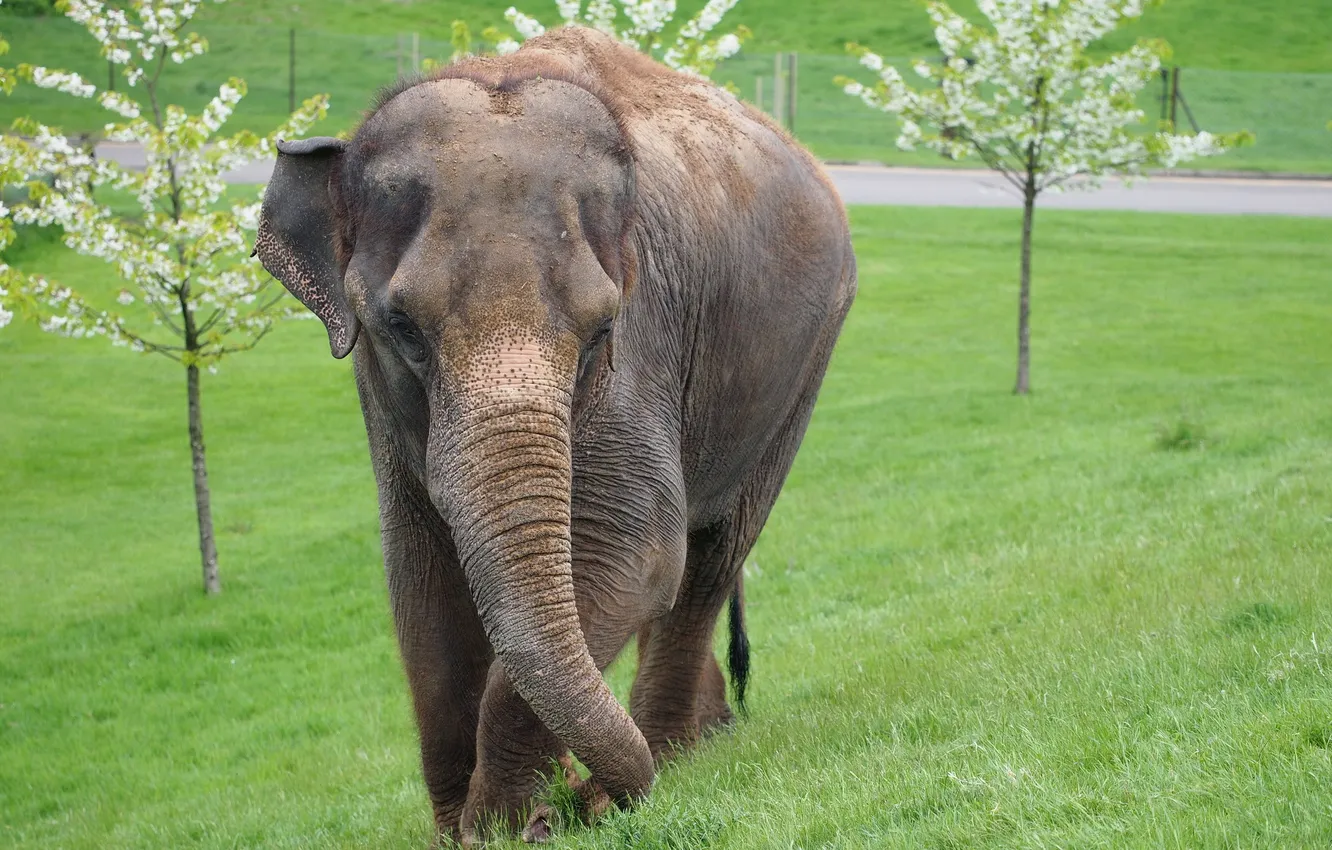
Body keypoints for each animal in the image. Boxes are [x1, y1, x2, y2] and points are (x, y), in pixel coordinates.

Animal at [255, 25, 855, 844]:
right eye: (401, 327)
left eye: (602, 330)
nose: (573, 796)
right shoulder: (377, 397)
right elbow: (419, 578)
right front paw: (470, 828)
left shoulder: (646, 339)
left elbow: (635, 550)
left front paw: (511, 824)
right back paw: (697, 741)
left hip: (805, 361)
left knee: (710, 555)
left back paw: (672, 754)